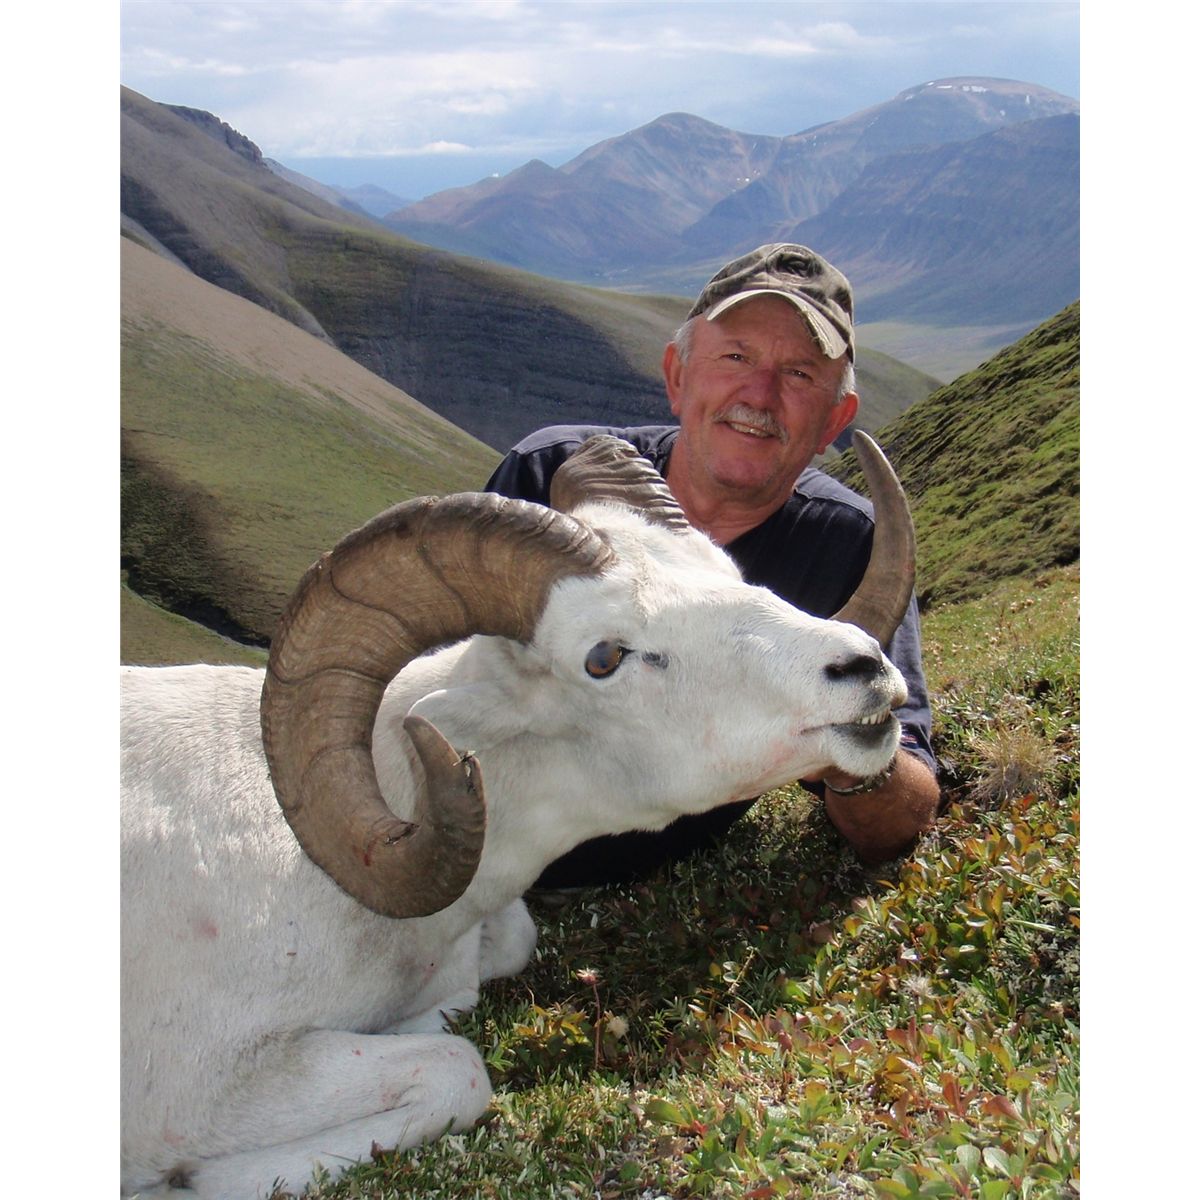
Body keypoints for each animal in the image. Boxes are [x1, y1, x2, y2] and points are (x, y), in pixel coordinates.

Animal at [121, 434, 914, 1199]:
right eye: (604, 656)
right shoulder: (203, 1093)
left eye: (726, 568)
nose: (864, 667)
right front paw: (194, 1178)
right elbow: (460, 1070)